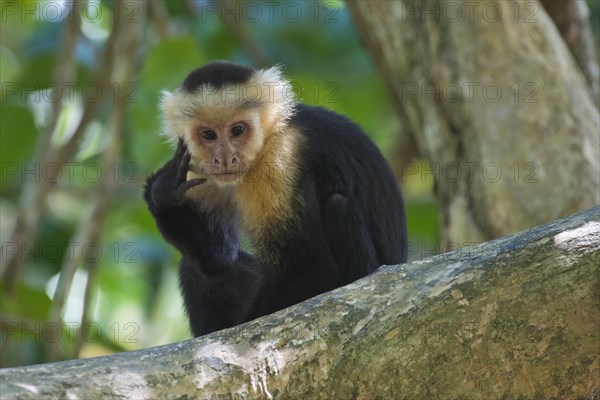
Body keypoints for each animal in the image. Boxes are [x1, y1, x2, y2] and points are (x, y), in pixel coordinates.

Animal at [145, 61, 408, 336]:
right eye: (208, 135)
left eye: (237, 130)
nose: (225, 159)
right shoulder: (195, 170)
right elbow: (219, 257)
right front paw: (162, 192)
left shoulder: (281, 158)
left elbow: (317, 267)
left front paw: (242, 329)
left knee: (338, 205)